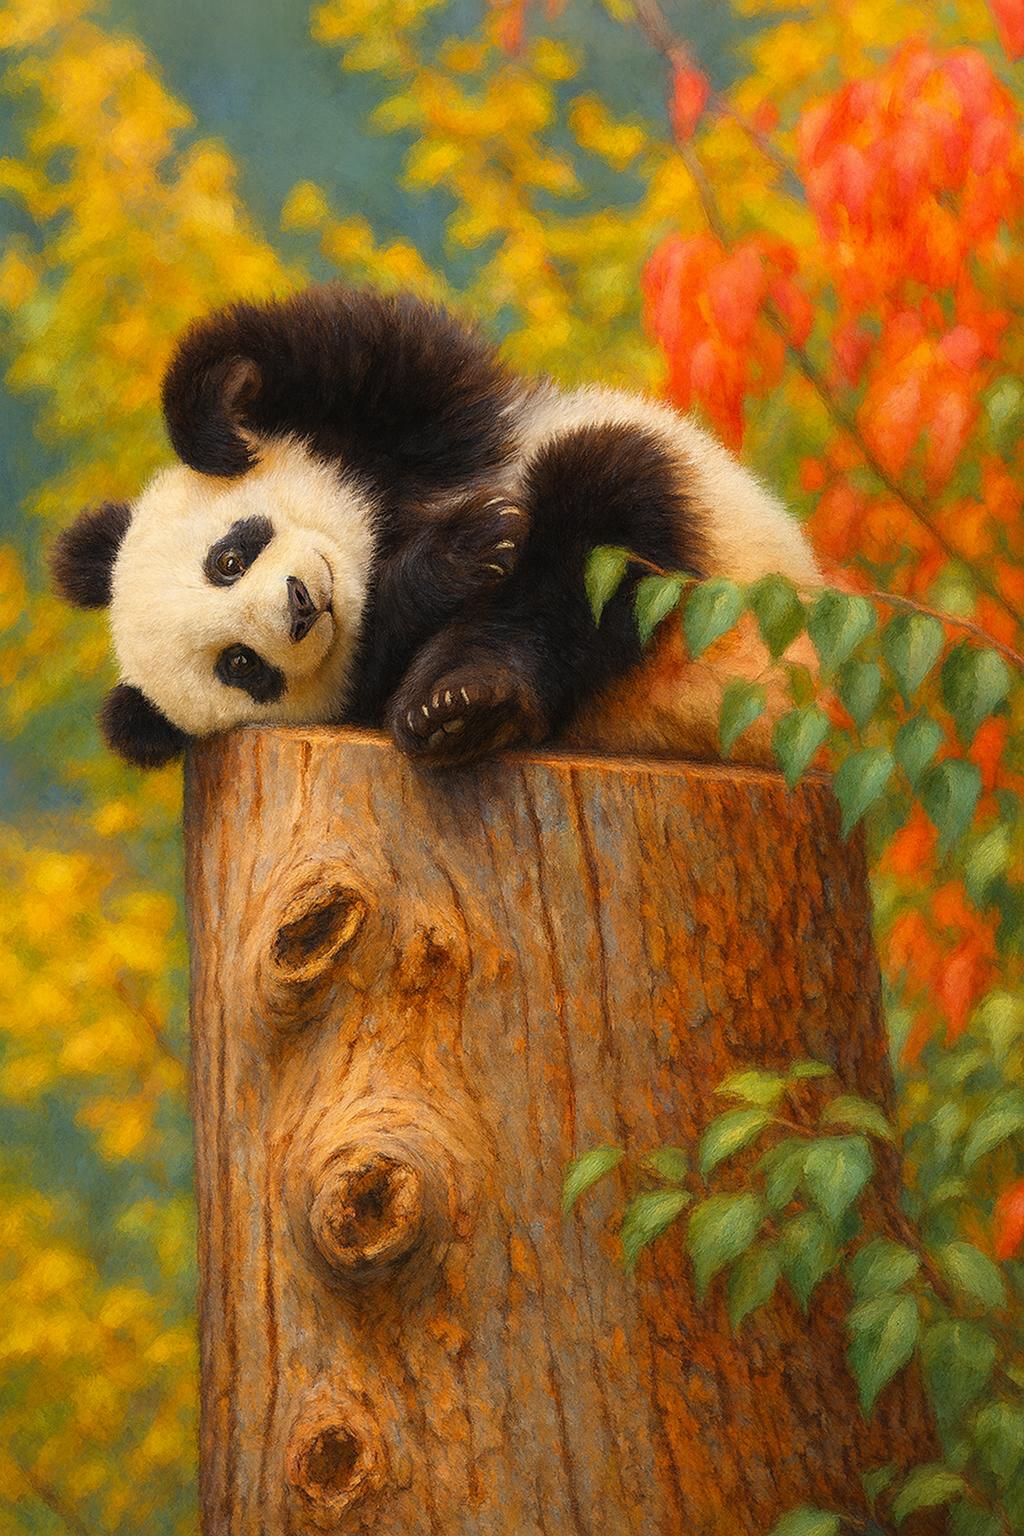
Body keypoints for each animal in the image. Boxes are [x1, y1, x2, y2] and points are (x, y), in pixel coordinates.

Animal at [50, 282, 821, 770]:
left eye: (228, 560)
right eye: (240, 664)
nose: (300, 606)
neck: (380, 529)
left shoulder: (414, 425)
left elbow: (377, 350)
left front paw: (217, 421)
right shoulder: (361, 679)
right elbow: (380, 642)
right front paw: (457, 555)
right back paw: (462, 703)